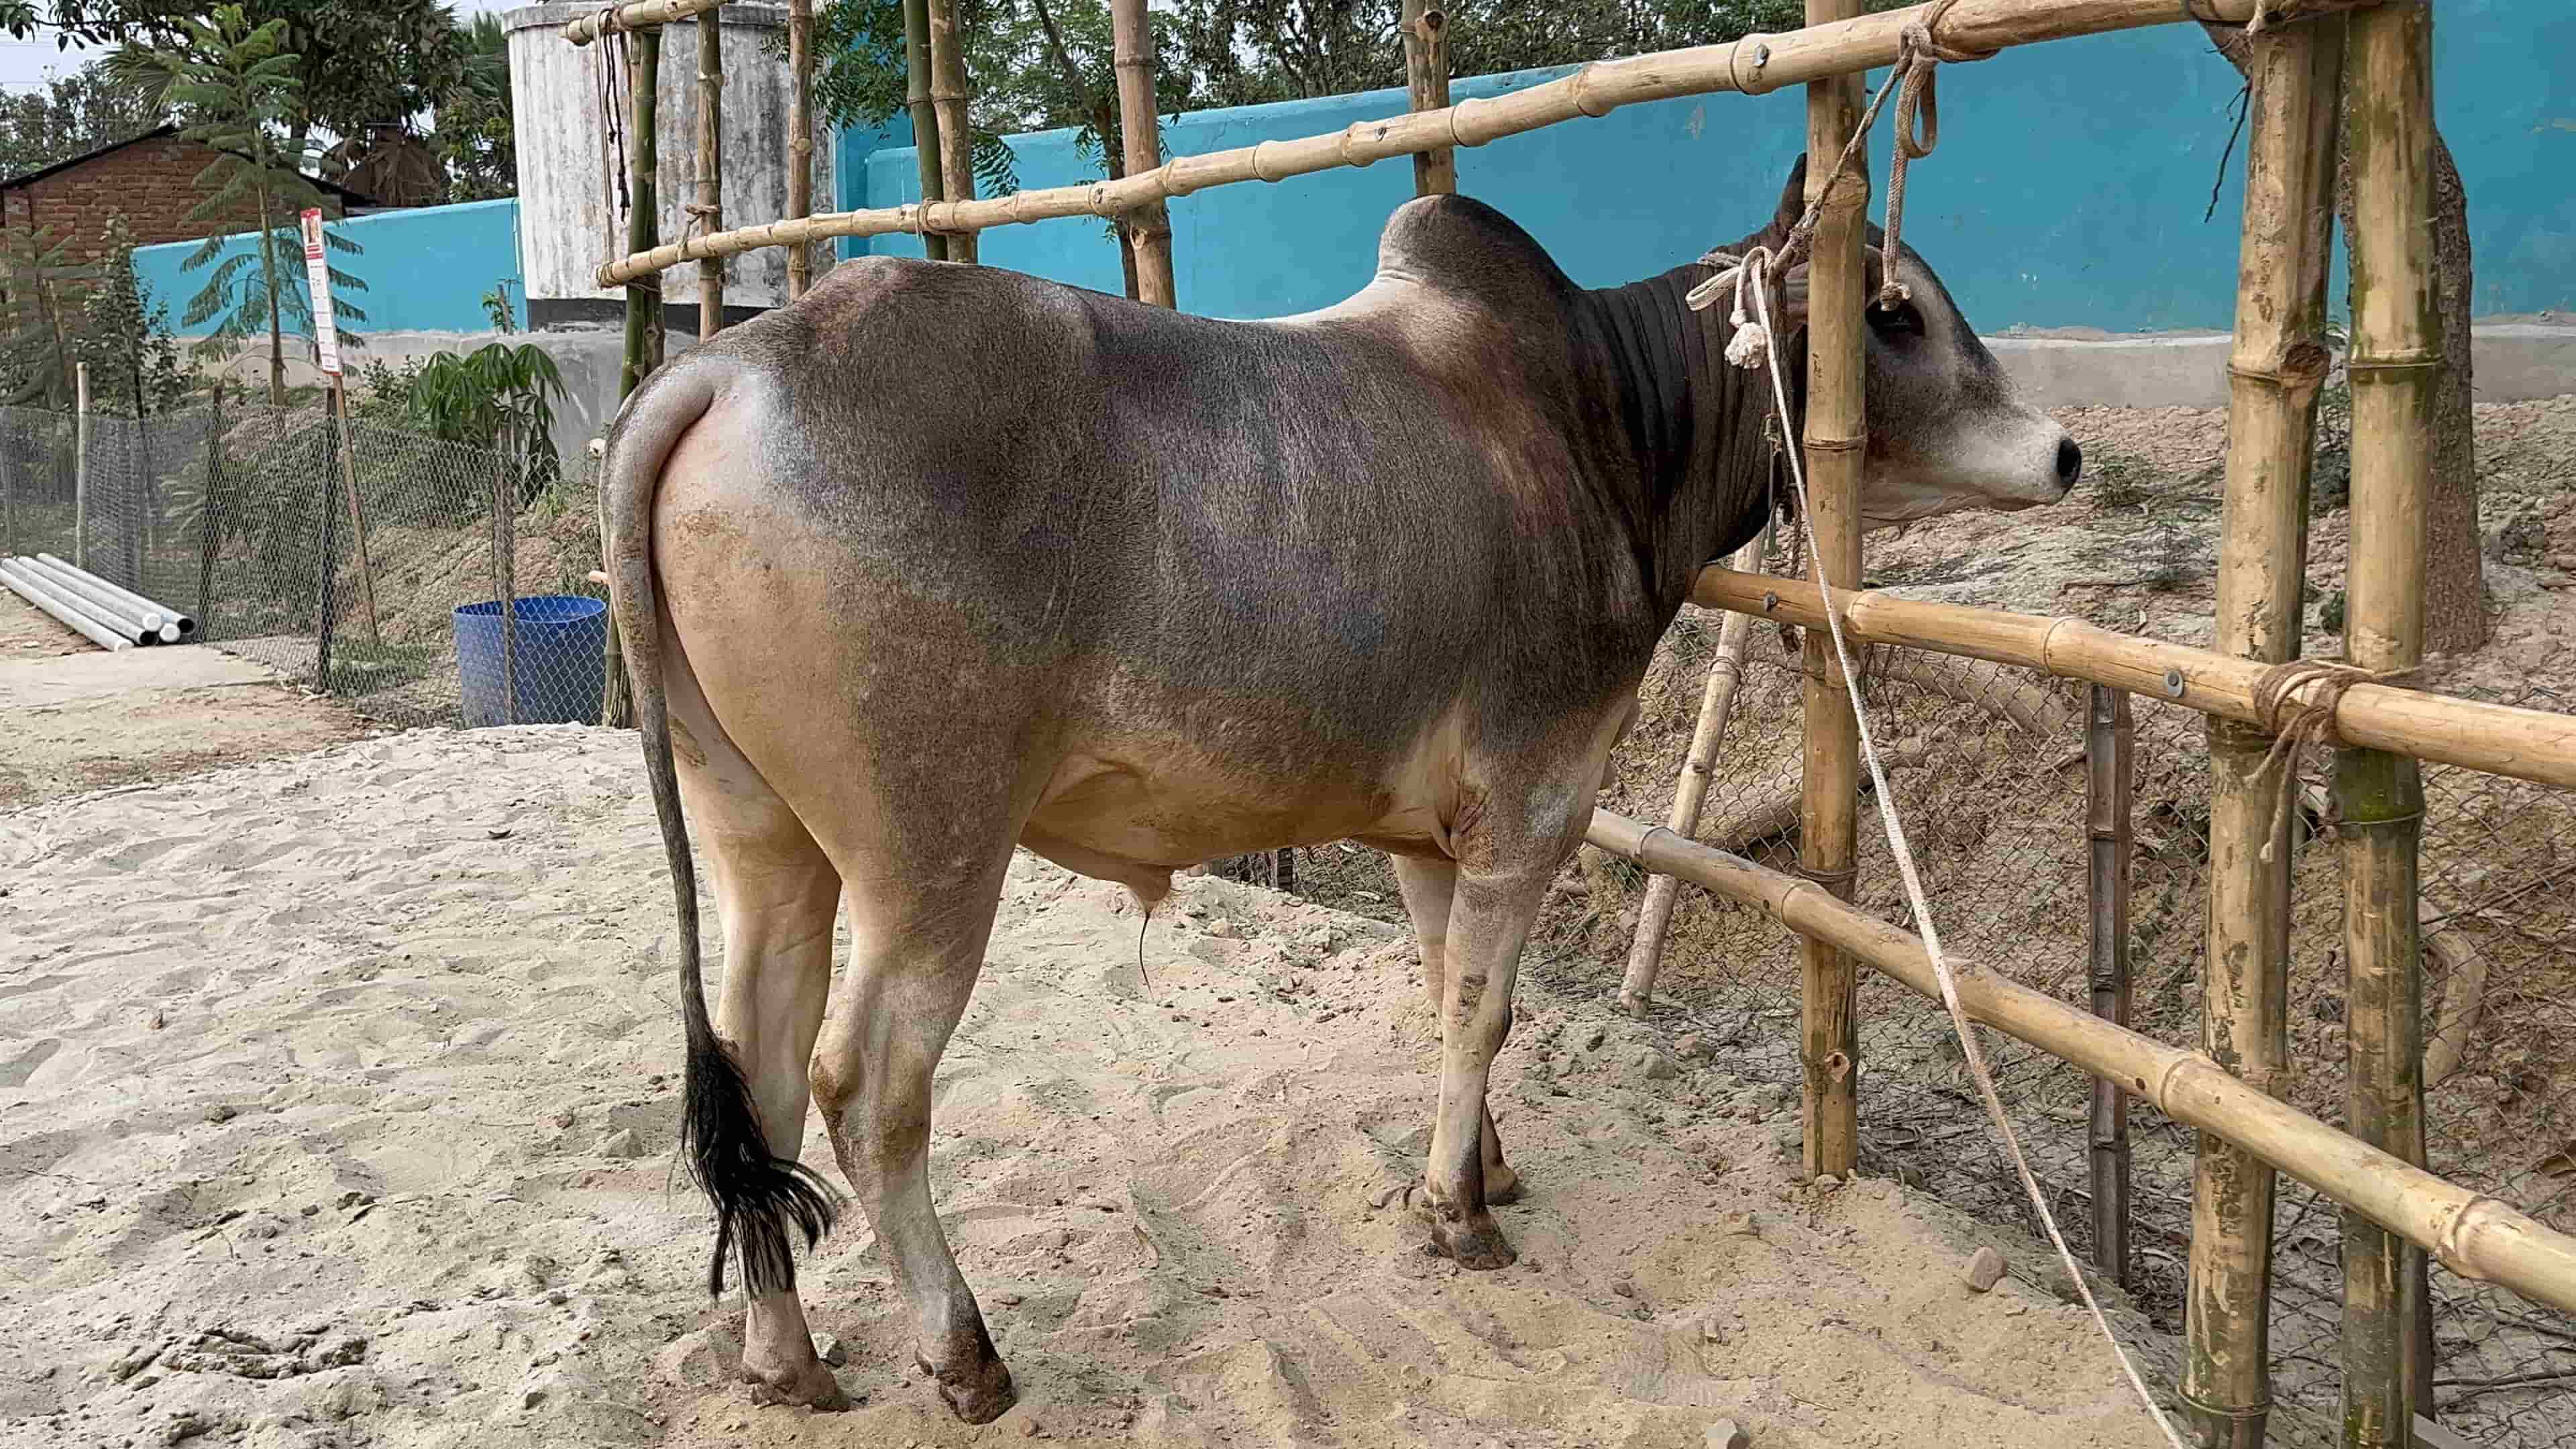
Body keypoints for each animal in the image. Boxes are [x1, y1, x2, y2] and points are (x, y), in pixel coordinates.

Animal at [600, 154, 2080, 1423]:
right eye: (1892, 312)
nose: (2064, 452)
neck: (1601, 425)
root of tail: (729, 364)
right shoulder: (1532, 807)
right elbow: (1484, 1010)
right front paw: (1458, 1216)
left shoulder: (1432, 840)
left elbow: (1448, 996)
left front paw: (1483, 1168)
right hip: (932, 861)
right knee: (863, 1090)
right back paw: (963, 1353)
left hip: (766, 844)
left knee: (762, 1073)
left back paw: (786, 1359)